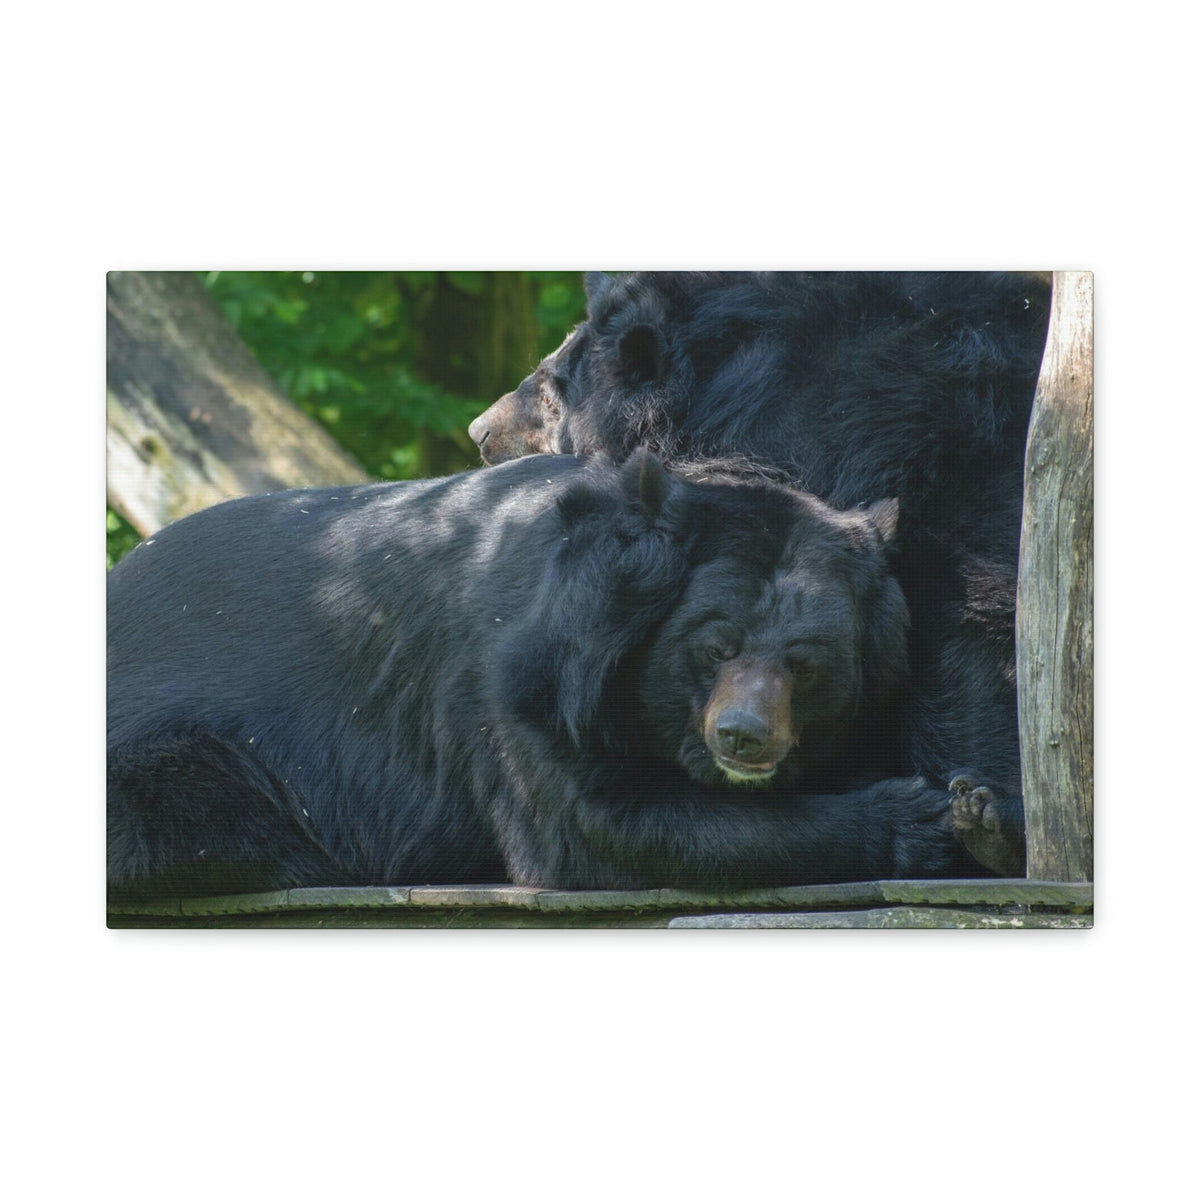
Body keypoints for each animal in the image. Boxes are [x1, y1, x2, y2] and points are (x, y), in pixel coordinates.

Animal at [107, 450, 979, 899]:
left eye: (806, 664)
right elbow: (592, 830)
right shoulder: (519, 682)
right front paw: (913, 819)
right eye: (715, 646)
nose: (744, 738)